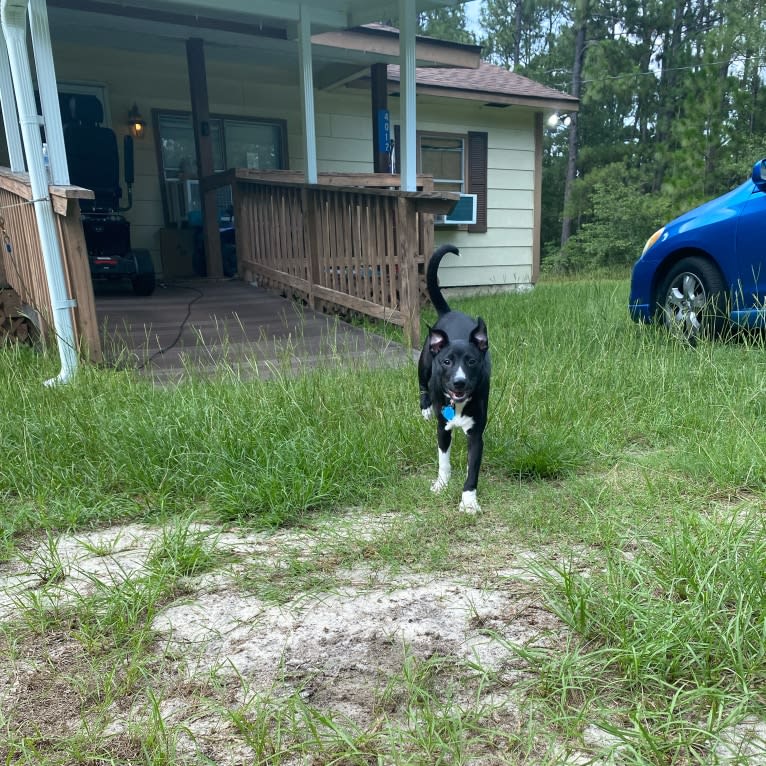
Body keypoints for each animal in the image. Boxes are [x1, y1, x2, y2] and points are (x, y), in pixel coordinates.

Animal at [420, 243, 492, 512]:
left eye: (471, 361)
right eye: (447, 361)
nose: (459, 382)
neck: (457, 404)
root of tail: (450, 312)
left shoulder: (476, 434)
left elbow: (472, 471)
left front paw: (469, 501)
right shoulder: (443, 428)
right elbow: (443, 461)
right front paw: (441, 485)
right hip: (423, 364)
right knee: (421, 385)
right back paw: (425, 407)